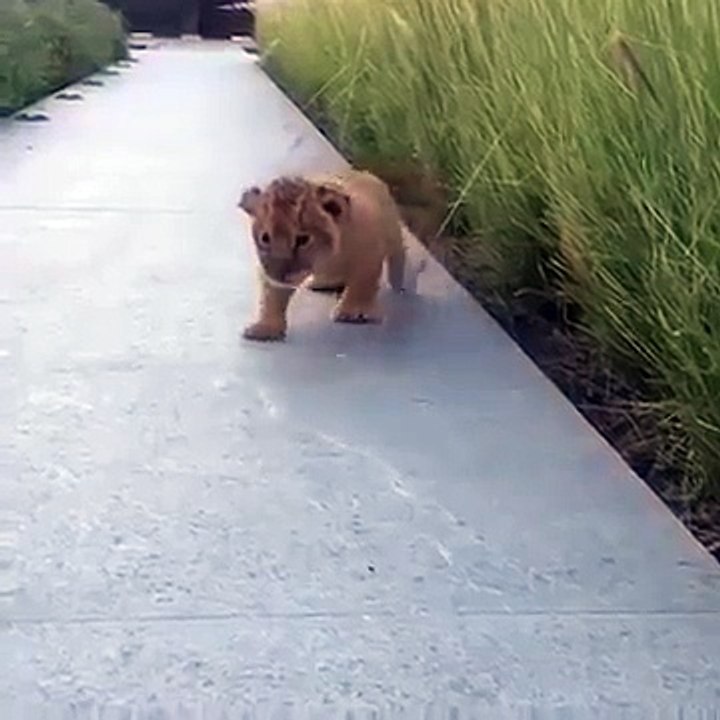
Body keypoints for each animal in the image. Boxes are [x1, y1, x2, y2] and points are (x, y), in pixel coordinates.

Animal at [238, 169, 407, 341]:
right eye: (265, 238)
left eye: (302, 239)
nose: (281, 275)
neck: (327, 257)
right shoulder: (269, 271)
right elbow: (271, 297)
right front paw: (265, 328)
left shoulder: (369, 251)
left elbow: (362, 283)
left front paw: (353, 312)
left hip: (393, 233)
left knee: (398, 256)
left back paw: (397, 283)